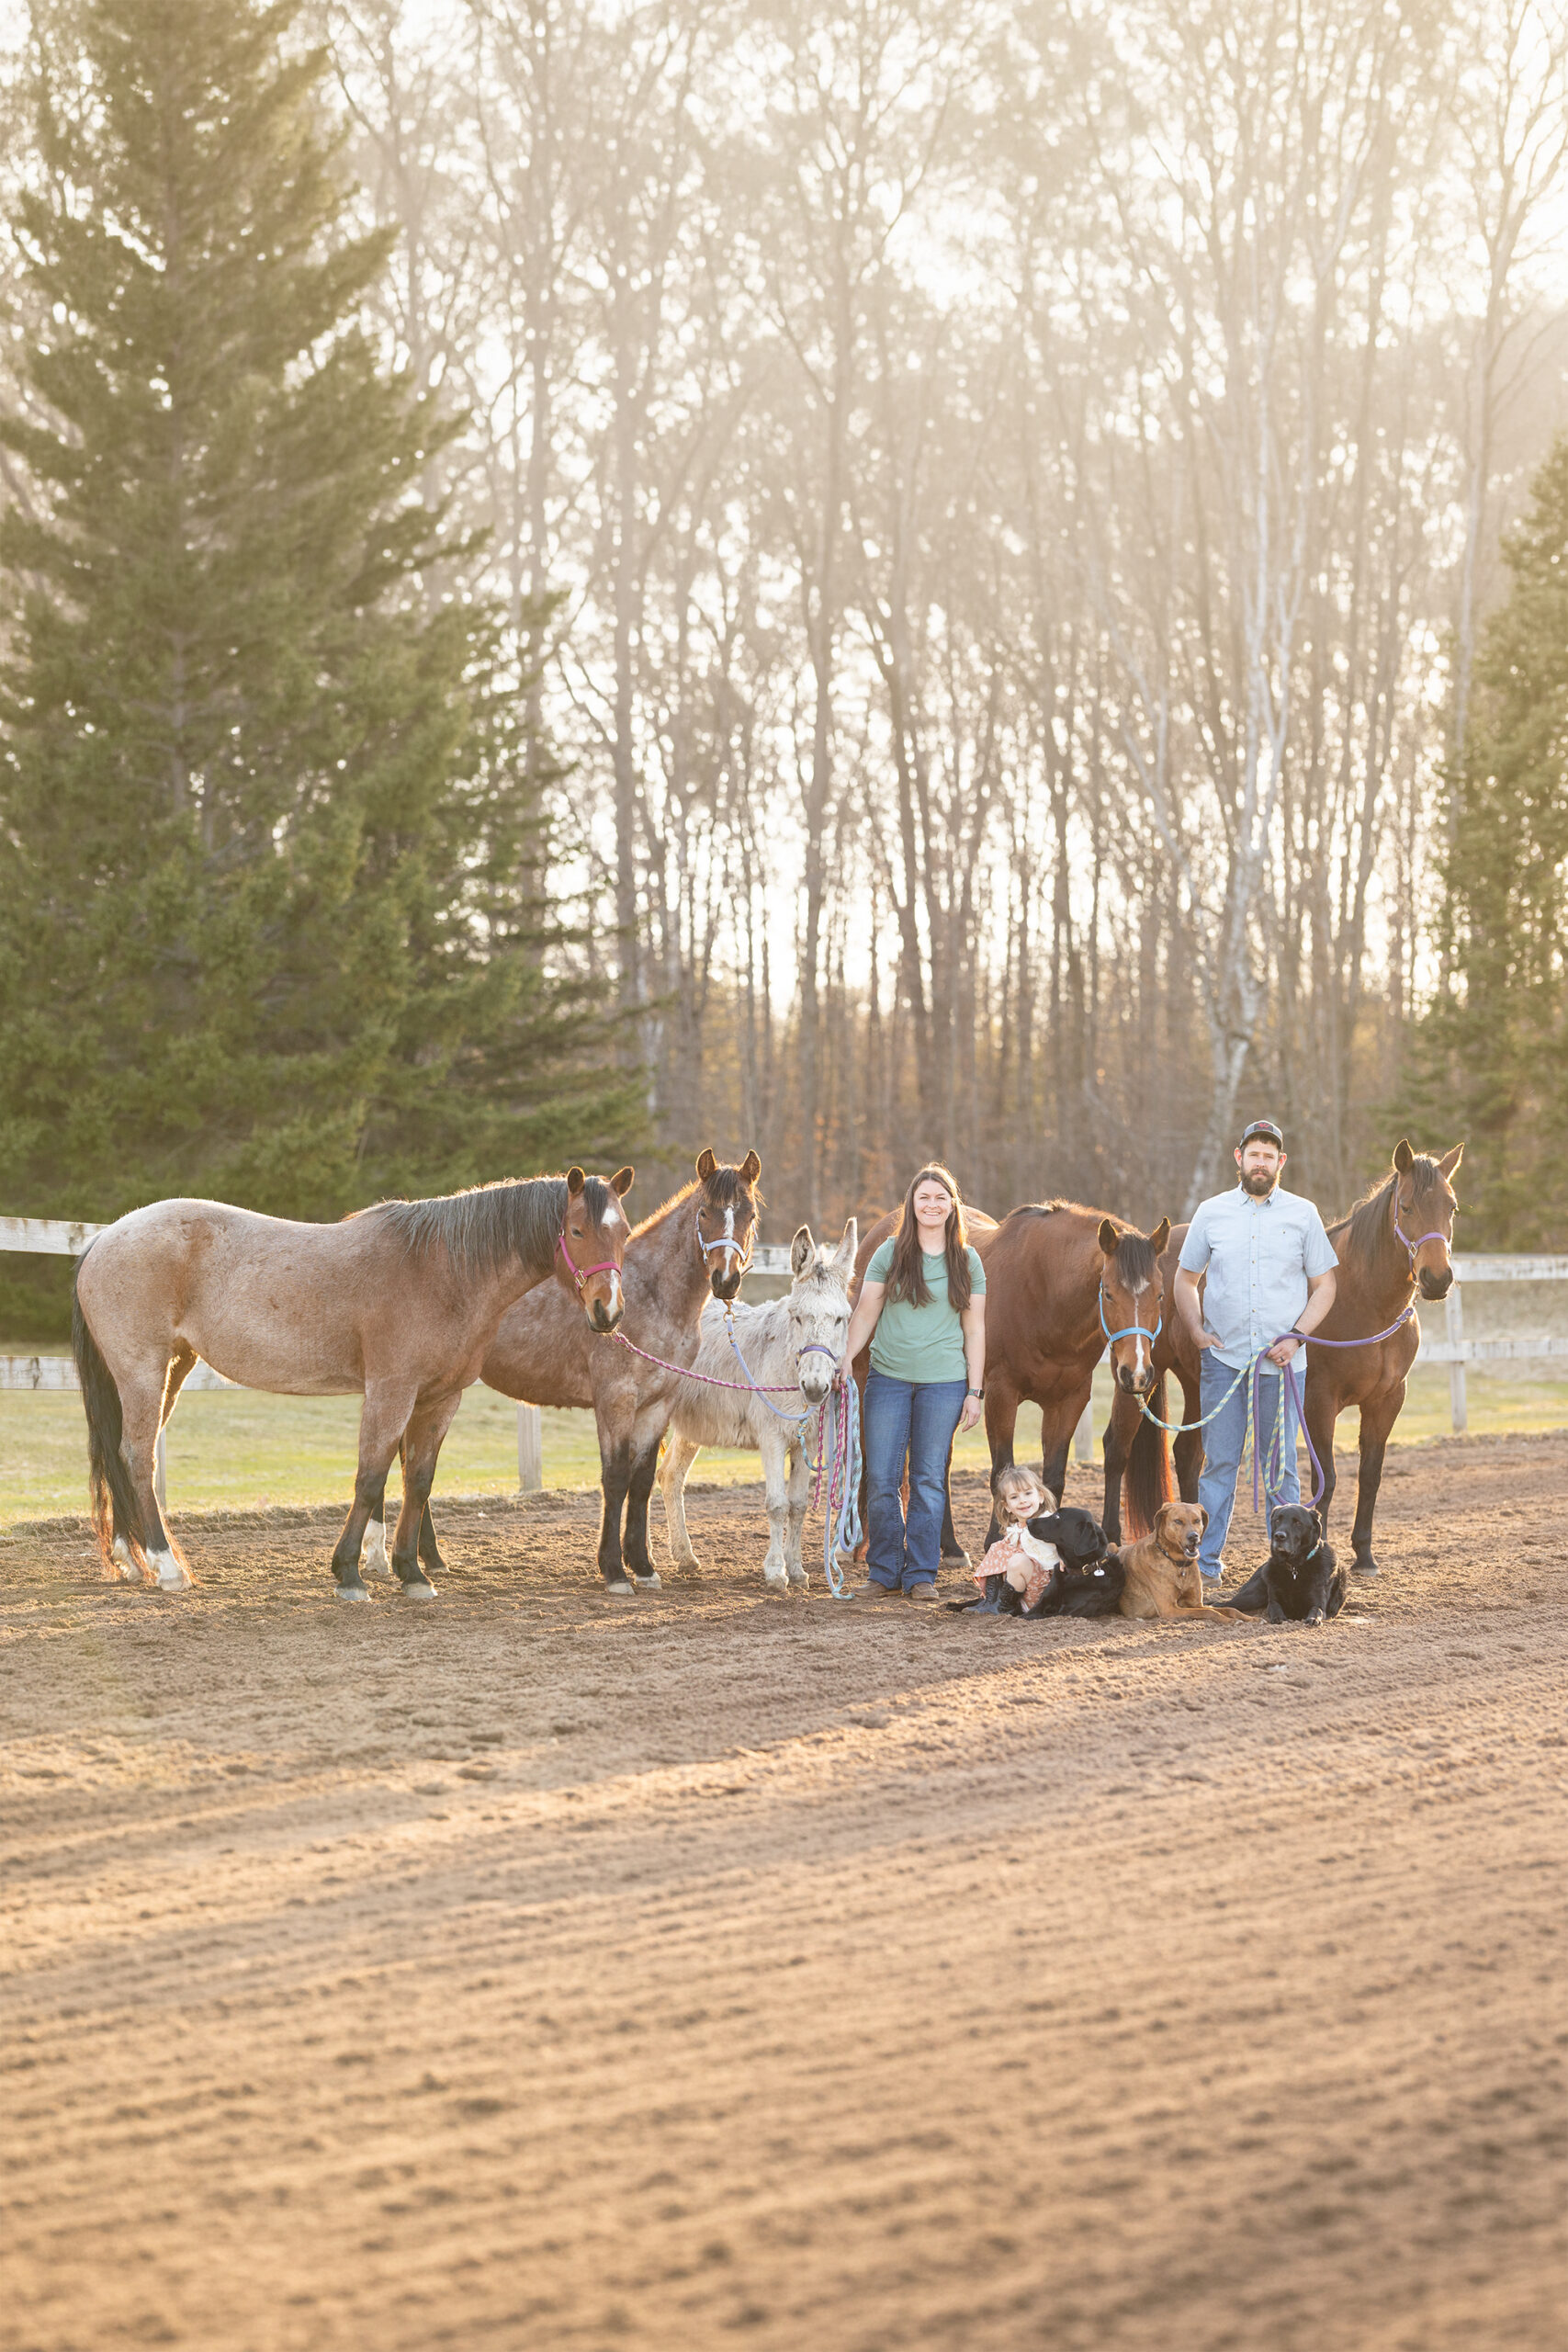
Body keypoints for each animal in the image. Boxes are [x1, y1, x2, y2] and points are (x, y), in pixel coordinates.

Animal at [71, 1167, 634, 1600]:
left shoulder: (440, 1399)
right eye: (577, 1231)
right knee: (138, 1457)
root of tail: (104, 1238)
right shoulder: (391, 1389)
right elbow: (370, 1477)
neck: (441, 1269)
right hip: (143, 1371)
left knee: (120, 1457)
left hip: (171, 1369)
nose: (608, 1312)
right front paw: (348, 1573)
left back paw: (132, 1560)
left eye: (625, 1231)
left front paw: (410, 1572)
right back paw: (167, 1567)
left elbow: (416, 1481)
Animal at [378, 1150, 764, 1595]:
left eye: (750, 1214)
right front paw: (614, 1571)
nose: (726, 1280)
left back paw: (430, 1559)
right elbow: (615, 1479)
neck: (652, 1293)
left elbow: (642, 1481)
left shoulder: (657, 1406)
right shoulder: (615, 1399)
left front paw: (643, 1566)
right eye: (704, 1212)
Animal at [657, 1220, 857, 1589]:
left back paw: (685, 1557)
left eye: (841, 1319)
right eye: (797, 1317)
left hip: (690, 1427)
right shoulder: (772, 1439)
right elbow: (777, 1505)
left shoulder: (806, 1443)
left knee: (670, 1476)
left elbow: (798, 1506)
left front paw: (797, 1570)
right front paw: (776, 1572)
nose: (815, 1388)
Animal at [849, 1202, 1175, 1558]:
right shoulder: (1000, 1394)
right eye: (1109, 1293)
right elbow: (1001, 1473)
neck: (1046, 1296)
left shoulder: (1069, 1400)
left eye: (1160, 1296)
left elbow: (1053, 1478)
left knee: (939, 1463)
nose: (1137, 1373)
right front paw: (996, 1538)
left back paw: (950, 1546)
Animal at [1103, 1139, 1463, 1575]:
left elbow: (1370, 1475)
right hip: (1137, 1376)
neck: (1362, 1300)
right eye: (1407, 1207)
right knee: (1116, 1450)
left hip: (1198, 1383)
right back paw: (1109, 1544)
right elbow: (1327, 1480)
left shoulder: (1388, 1400)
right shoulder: (1319, 1402)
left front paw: (1365, 1556)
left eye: (1451, 1207)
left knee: (1189, 1456)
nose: (1437, 1278)